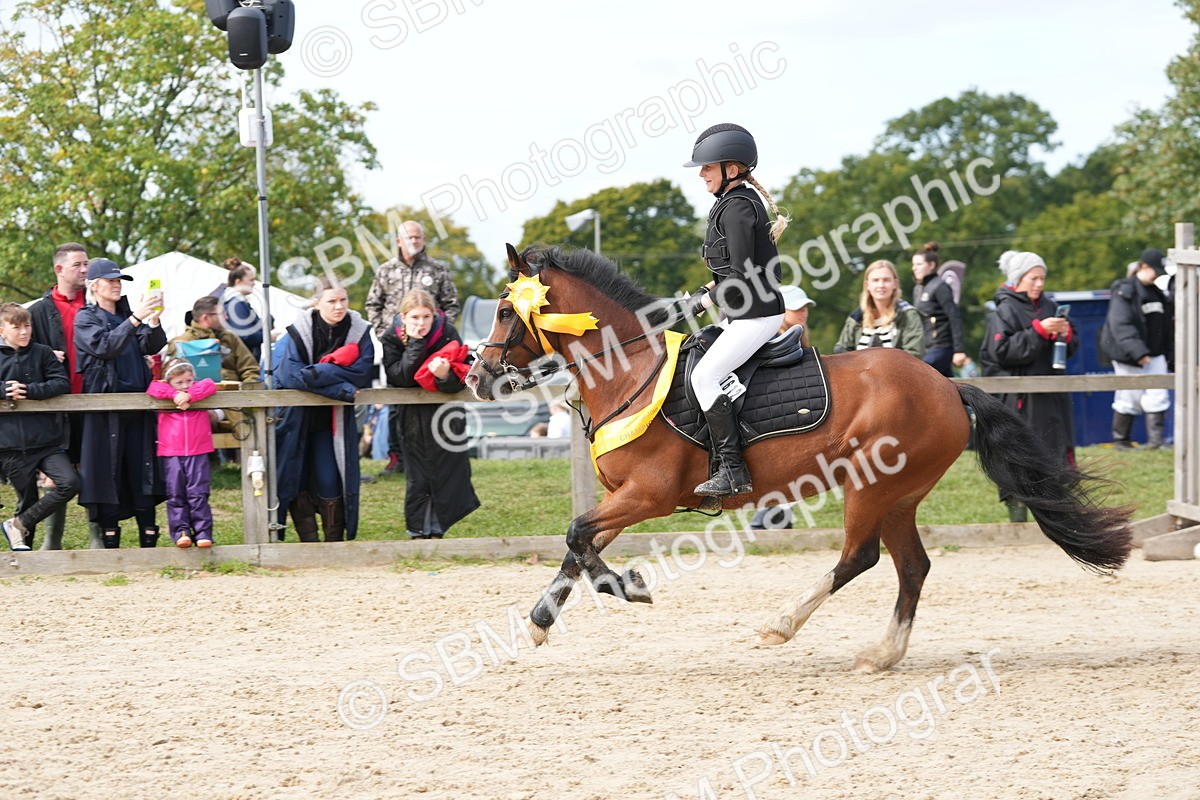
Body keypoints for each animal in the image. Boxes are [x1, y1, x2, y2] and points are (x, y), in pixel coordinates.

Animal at [464, 244, 1133, 673]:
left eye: (503, 310)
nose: (476, 376)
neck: (630, 370)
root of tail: (947, 385)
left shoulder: (647, 495)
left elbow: (578, 536)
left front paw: (627, 587)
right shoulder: (622, 498)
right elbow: (577, 544)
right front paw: (540, 620)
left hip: (871, 487)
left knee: (861, 558)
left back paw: (782, 624)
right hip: (901, 496)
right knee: (912, 567)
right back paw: (882, 654)